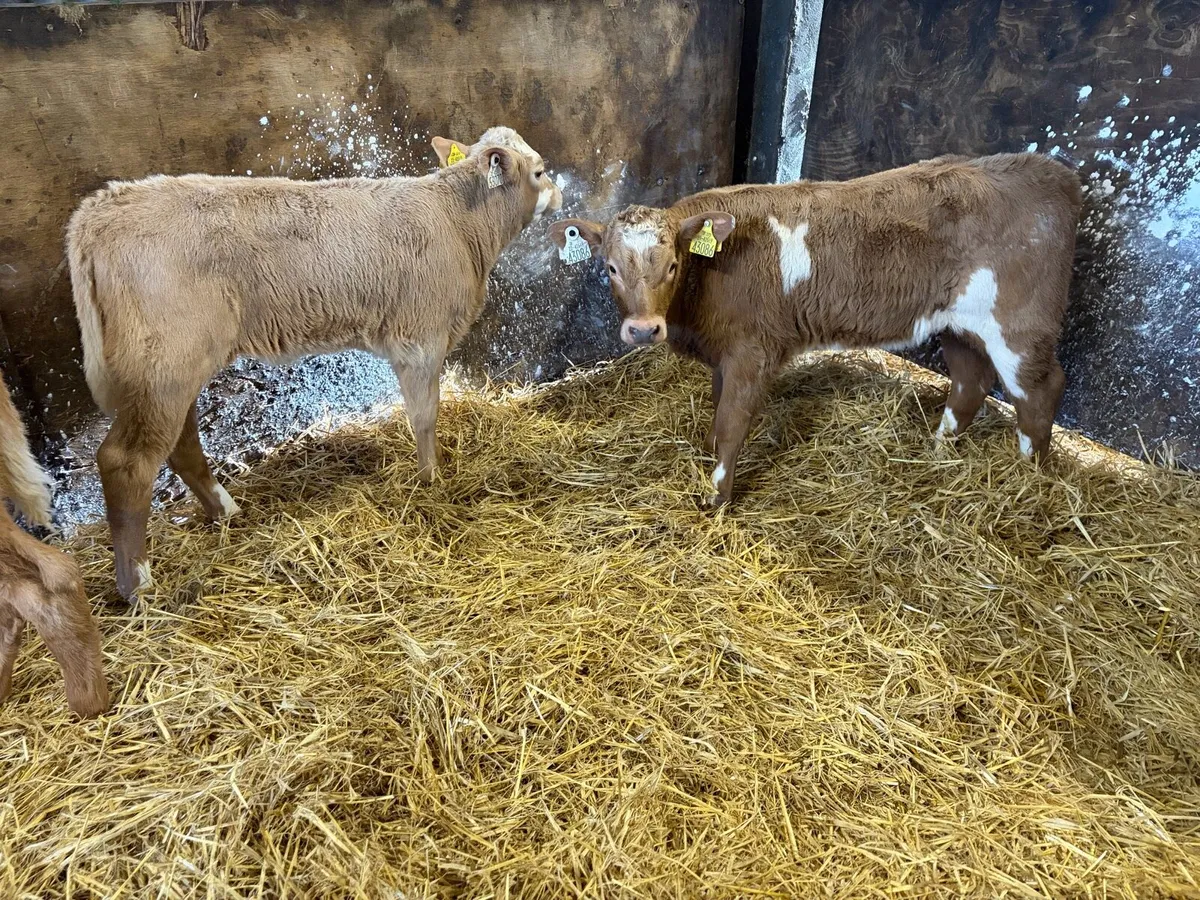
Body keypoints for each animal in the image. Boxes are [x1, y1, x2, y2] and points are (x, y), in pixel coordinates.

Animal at [68, 126, 562, 600]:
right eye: (539, 171)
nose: (559, 194)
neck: (458, 220)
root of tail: (98, 211)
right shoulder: (420, 338)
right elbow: (424, 417)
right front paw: (431, 480)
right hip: (163, 364)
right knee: (126, 461)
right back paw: (138, 583)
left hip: (171, 367)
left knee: (181, 443)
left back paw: (225, 511)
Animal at [550, 152, 1082, 506]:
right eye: (610, 268)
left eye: (673, 266)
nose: (643, 330)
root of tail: (1050, 173)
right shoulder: (724, 352)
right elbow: (716, 411)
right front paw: (707, 461)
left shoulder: (753, 351)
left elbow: (731, 421)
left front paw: (717, 498)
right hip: (957, 323)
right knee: (971, 380)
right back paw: (939, 450)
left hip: (1020, 325)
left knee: (1039, 391)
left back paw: (1028, 477)